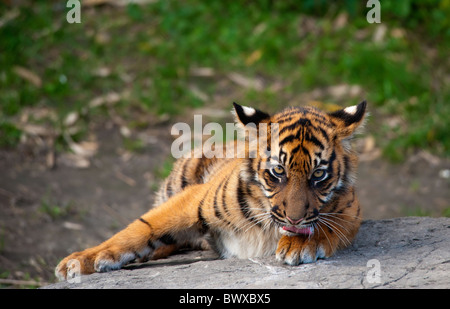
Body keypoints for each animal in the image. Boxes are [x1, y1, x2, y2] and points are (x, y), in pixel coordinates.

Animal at [56, 100, 368, 280]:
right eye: (279, 171)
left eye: (318, 175)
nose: (294, 218)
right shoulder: (195, 200)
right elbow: (139, 229)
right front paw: (81, 261)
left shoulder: (351, 209)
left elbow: (327, 224)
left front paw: (300, 244)